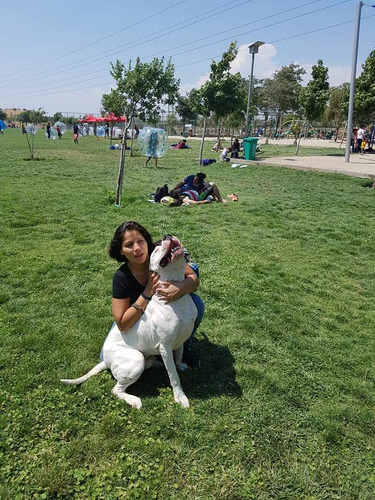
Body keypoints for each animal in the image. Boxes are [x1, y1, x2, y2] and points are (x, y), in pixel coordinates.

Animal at [60, 236, 198, 408]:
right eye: (156, 248)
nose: (167, 236)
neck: (176, 297)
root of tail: (105, 360)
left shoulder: (180, 338)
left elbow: (178, 355)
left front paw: (180, 365)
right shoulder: (165, 346)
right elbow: (173, 375)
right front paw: (180, 396)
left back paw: (156, 363)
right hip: (135, 359)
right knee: (116, 389)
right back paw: (134, 400)